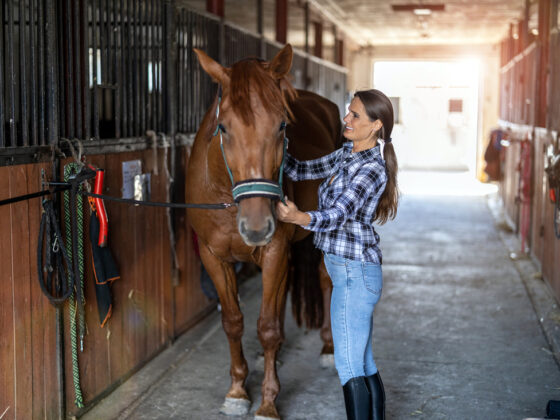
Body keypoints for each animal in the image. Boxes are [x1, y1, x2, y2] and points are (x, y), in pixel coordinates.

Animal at [186, 44, 340, 418]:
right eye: (223, 128)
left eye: (282, 125)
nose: (256, 227)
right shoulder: (213, 257)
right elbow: (233, 321)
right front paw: (238, 390)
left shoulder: (273, 251)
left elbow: (266, 327)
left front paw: (268, 402)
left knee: (324, 281)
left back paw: (328, 349)